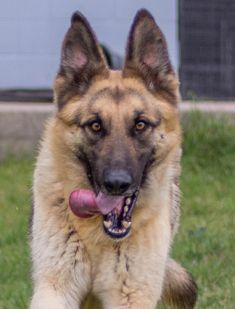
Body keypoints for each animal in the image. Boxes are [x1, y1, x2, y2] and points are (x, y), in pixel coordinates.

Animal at [30, 9, 197, 308]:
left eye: (140, 125)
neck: (98, 235)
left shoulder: (131, 295)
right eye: (95, 126)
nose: (116, 184)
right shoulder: (56, 286)